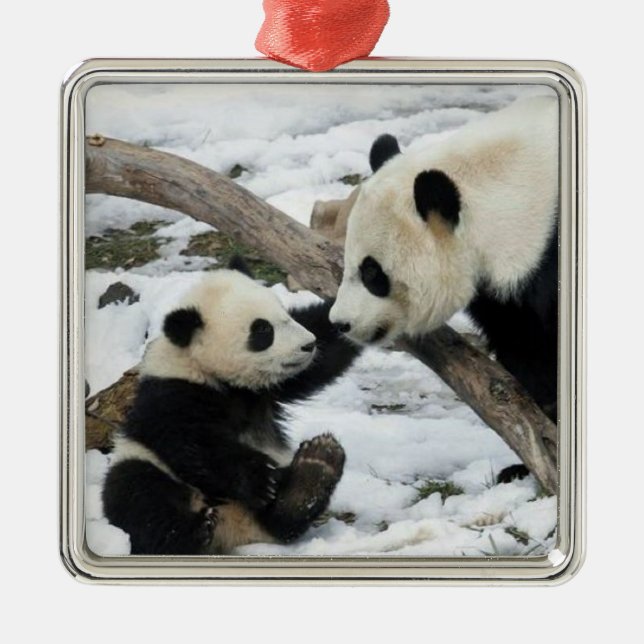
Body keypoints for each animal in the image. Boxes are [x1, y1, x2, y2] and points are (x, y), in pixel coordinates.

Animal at [102, 258, 360, 555]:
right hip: (142, 462)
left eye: (284, 313)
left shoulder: (271, 388)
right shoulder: (171, 392)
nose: (308, 344)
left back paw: (315, 469)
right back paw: (193, 531)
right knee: (139, 496)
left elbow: (328, 346)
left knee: (280, 520)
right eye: (263, 330)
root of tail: (235, 529)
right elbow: (192, 442)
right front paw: (259, 479)